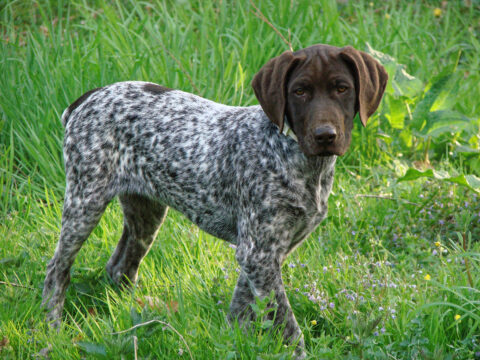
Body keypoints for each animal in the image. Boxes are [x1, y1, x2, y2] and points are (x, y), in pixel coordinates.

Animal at [43, 43, 388, 356]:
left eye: (342, 88)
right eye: (300, 91)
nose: (325, 135)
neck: (297, 159)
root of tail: (88, 97)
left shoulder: (264, 255)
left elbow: (242, 309)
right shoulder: (258, 253)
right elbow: (288, 325)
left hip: (146, 213)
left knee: (120, 268)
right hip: (85, 202)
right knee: (57, 269)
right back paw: (53, 329)